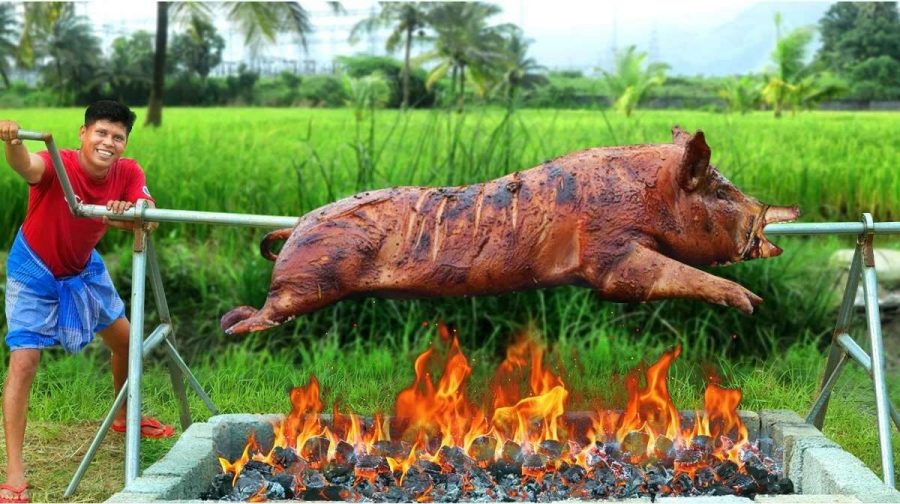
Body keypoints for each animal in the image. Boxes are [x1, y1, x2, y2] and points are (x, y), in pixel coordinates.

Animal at [221, 127, 799, 334]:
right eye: (720, 191)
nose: (775, 215)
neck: (648, 192)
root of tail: (296, 226)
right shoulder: (608, 250)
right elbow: (633, 280)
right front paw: (750, 301)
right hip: (311, 275)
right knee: (267, 312)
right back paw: (235, 325)